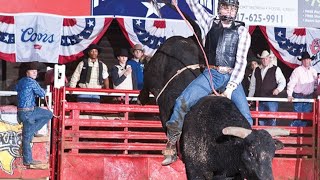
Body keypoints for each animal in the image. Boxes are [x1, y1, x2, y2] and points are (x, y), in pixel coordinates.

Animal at [139, 35, 288, 179]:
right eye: (251, 153)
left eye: (272, 155)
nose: (267, 178)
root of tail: (178, 39)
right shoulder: (195, 171)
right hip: (151, 72)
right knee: (146, 79)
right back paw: (142, 99)